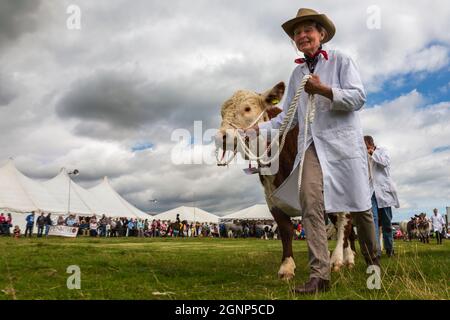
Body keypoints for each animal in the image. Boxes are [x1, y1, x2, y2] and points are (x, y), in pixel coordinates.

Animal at [216, 82, 356, 280]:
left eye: (247, 108)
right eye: (222, 113)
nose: (220, 137)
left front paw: (329, 261)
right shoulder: (272, 198)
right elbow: (286, 230)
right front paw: (287, 267)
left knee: (346, 223)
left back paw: (340, 258)